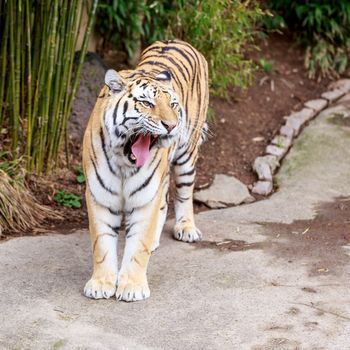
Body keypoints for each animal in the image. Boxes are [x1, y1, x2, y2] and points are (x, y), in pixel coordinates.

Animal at [82, 37, 208, 300]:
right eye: (147, 103)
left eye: (173, 104)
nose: (171, 125)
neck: (124, 161)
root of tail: (177, 39)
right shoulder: (100, 197)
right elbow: (102, 244)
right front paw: (101, 284)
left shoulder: (144, 198)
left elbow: (137, 246)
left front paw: (131, 287)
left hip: (186, 156)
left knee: (184, 193)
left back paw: (186, 228)